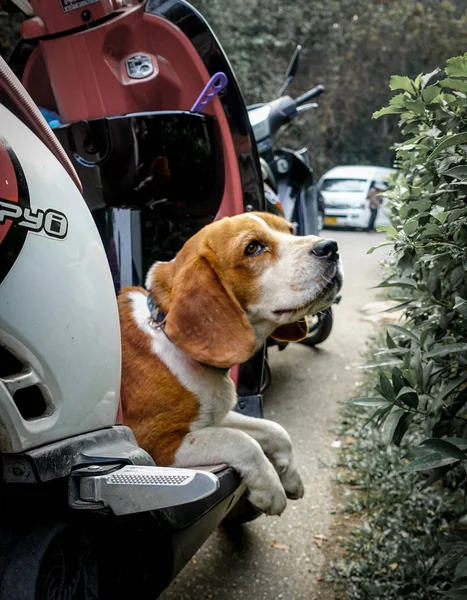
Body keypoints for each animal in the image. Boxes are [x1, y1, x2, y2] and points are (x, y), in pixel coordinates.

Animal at [118, 211, 344, 516]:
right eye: (253, 248)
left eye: (290, 229)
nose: (330, 247)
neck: (166, 333)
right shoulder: (156, 444)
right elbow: (241, 441)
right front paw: (271, 491)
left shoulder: (216, 417)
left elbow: (274, 430)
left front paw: (290, 477)